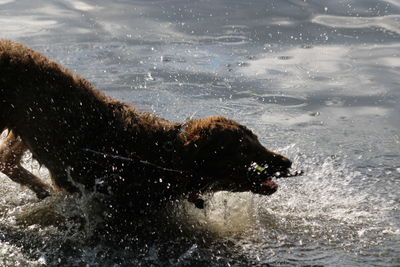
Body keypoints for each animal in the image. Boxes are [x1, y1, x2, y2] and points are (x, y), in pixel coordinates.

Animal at [0, 40, 294, 211]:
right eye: (243, 150)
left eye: (257, 139)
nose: (288, 161)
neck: (165, 155)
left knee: (7, 160)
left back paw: (41, 189)